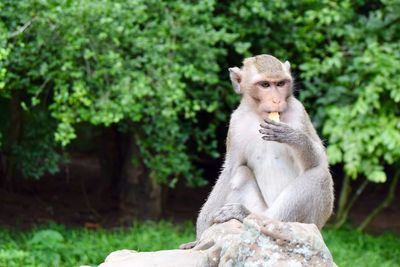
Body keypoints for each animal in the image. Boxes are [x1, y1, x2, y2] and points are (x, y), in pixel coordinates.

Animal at [180, 54, 332, 251]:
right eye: (265, 85)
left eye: (280, 83)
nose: (277, 100)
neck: (260, 115)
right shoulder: (235, 124)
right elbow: (230, 170)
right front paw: (199, 237)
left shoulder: (299, 112)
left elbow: (320, 160)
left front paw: (293, 136)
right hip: (261, 208)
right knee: (241, 173)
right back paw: (244, 215)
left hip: (307, 223)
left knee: (319, 176)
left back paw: (253, 217)